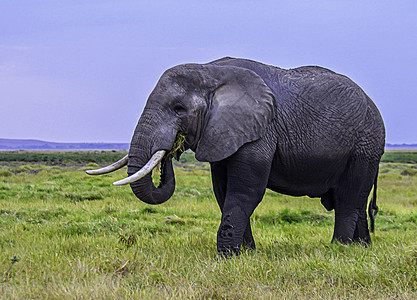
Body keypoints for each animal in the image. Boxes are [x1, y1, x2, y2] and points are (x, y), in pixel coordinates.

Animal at [86, 56, 386, 255]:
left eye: (179, 109)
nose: (173, 149)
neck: (210, 71)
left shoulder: (261, 128)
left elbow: (245, 190)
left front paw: (227, 256)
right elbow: (223, 189)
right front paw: (247, 254)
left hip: (365, 147)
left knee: (348, 199)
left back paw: (339, 250)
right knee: (354, 201)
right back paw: (362, 249)